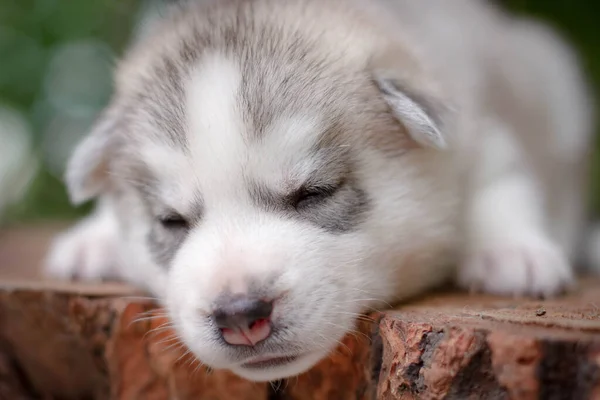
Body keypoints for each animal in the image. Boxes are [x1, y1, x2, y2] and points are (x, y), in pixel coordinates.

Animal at [45, 0, 596, 382]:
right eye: (171, 221)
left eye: (313, 193)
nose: (241, 315)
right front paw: (93, 241)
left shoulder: (477, 128)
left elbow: (502, 180)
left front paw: (512, 254)